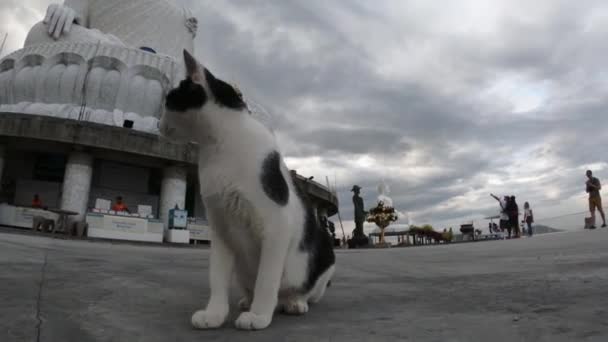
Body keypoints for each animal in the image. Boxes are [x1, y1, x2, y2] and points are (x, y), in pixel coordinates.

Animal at [159, 49, 334, 330]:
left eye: (169, 100)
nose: (158, 125)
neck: (219, 145)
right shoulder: (220, 227)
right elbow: (217, 278)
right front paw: (215, 314)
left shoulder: (277, 226)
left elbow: (266, 279)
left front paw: (259, 316)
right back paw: (246, 300)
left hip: (324, 252)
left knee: (300, 290)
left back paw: (293, 302)